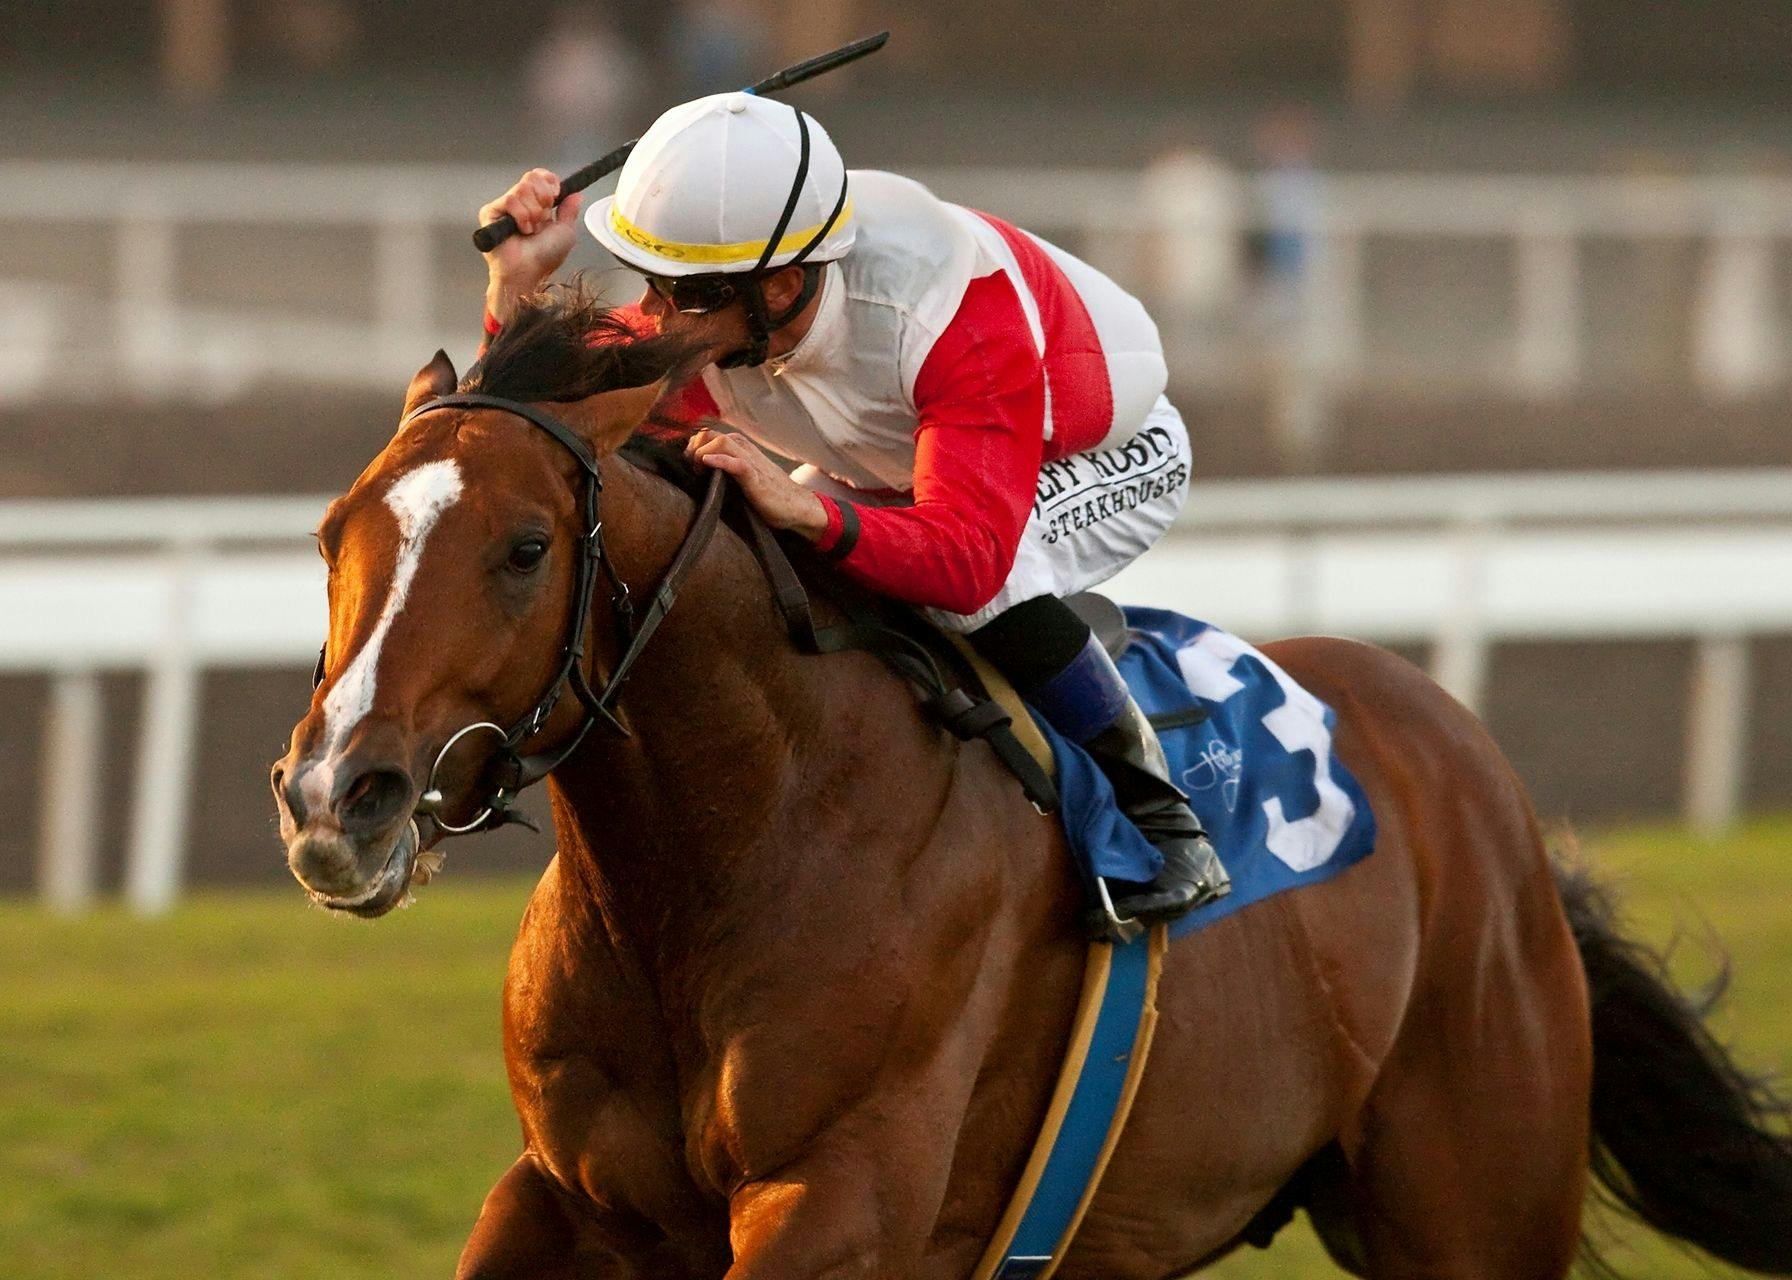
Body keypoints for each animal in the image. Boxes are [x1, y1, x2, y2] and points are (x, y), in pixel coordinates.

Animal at [268, 288, 1792, 1276]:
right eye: (331, 532)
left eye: (525, 548)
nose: (340, 796)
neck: (725, 855)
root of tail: (1479, 780)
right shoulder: (565, 1196)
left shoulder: (838, 1199)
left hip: (1473, 1198)